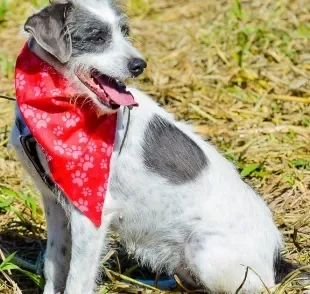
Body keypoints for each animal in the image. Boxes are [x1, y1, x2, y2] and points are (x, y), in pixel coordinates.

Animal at [9, 0, 308, 294]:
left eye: (125, 32)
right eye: (96, 37)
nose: (139, 65)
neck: (58, 108)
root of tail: (277, 260)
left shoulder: (91, 213)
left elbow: (77, 281)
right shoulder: (54, 204)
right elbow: (54, 263)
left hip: (205, 253)